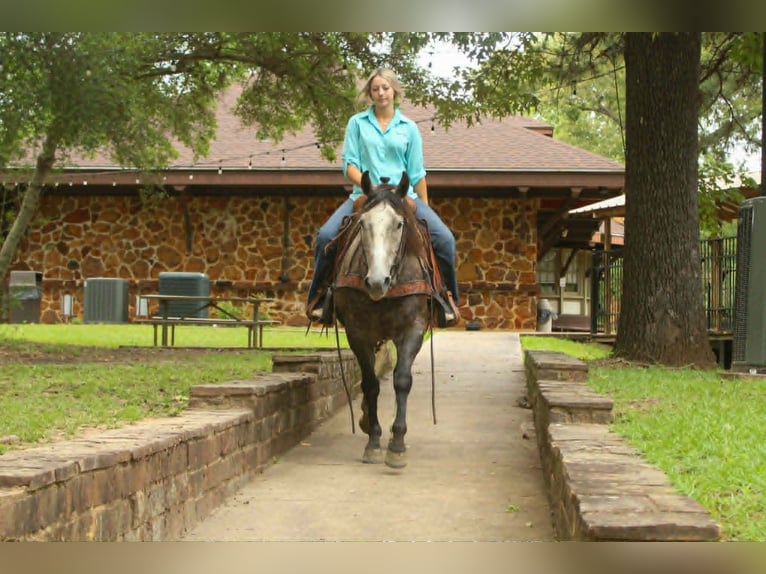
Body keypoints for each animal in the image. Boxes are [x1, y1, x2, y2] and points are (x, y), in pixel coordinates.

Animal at [330, 170, 435, 469]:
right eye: (362, 223)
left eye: (399, 224)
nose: (377, 282)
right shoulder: (357, 332)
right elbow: (370, 383)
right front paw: (374, 441)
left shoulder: (413, 329)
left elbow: (402, 380)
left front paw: (397, 444)